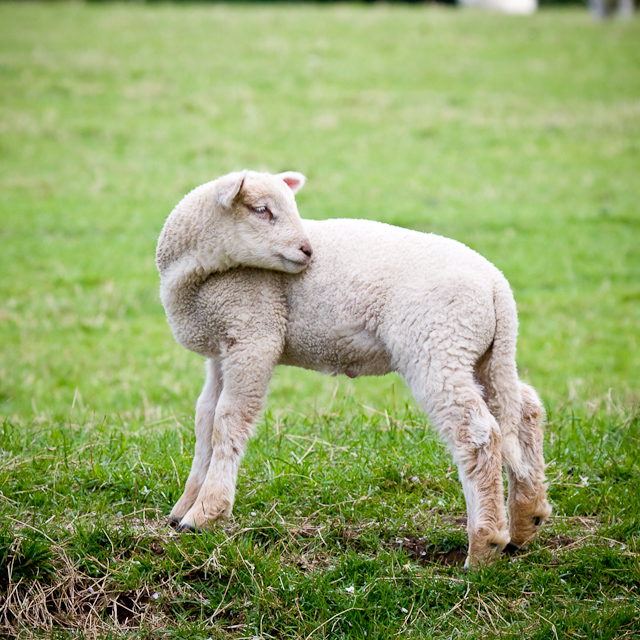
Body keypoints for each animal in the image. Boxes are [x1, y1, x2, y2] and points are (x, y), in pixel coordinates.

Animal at [156, 169, 552, 564]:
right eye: (261, 210)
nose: (308, 251)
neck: (193, 279)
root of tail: (498, 287)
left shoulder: (255, 334)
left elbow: (228, 421)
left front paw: (205, 513)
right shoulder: (221, 350)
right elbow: (205, 419)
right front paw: (184, 507)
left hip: (439, 345)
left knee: (477, 434)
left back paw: (484, 546)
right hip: (482, 353)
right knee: (523, 409)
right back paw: (526, 520)